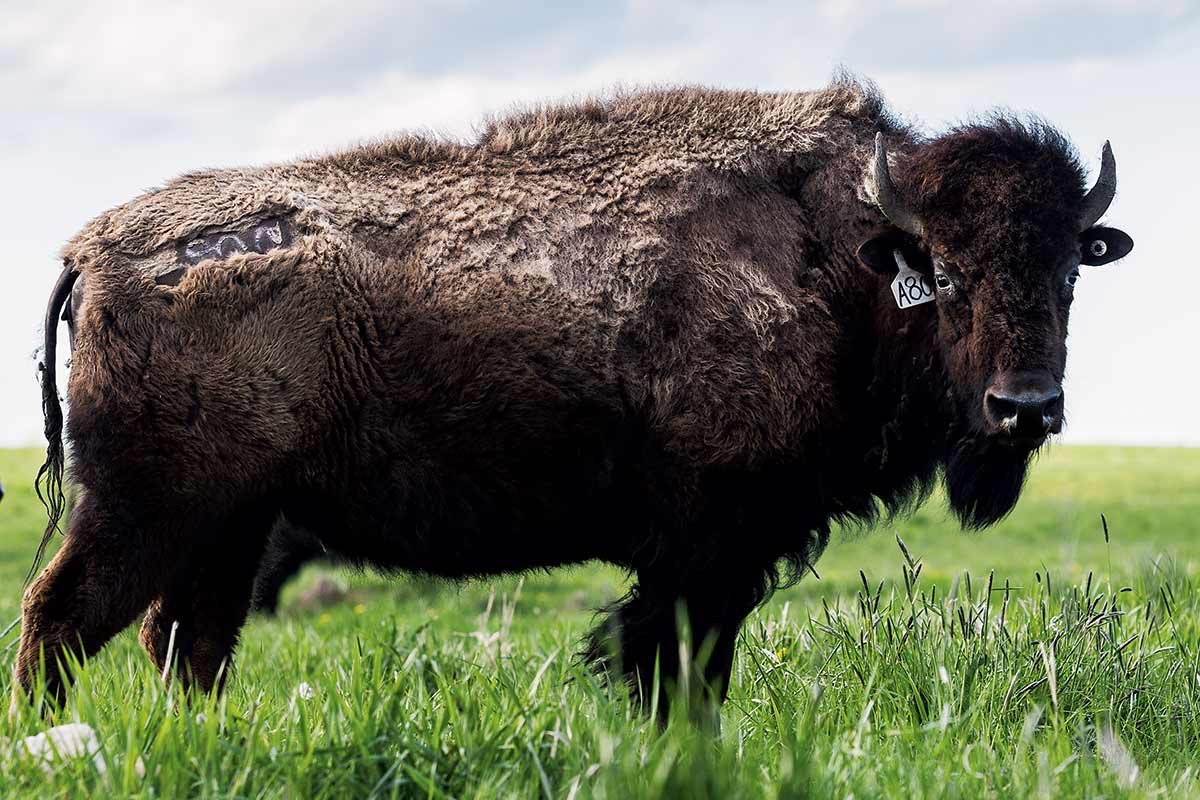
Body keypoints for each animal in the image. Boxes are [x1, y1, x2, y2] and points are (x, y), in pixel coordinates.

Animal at [14, 78, 1132, 718]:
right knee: (64, 618)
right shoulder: (707, 550)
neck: (837, 252)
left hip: (229, 519)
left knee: (186, 643)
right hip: (144, 507)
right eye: (946, 273)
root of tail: (91, 246)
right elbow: (671, 666)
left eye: (1069, 272)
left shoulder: (717, 556)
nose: (1024, 406)